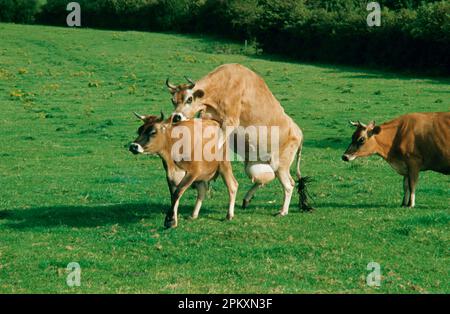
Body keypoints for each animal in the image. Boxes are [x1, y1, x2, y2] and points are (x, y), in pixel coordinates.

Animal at [166, 63, 312, 216]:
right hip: (255, 165)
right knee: (265, 178)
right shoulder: (208, 118)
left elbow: (218, 142)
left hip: (281, 164)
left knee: (289, 184)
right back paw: (247, 199)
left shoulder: (231, 121)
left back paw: (283, 211)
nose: (176, 117)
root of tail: (299, 132)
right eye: (173, 100)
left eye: (189, 99)